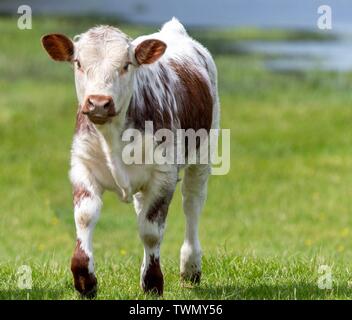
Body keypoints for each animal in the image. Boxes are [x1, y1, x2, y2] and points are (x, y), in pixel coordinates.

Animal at [42, 18, 220, 298]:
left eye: (126, 65)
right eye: (78, 63)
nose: (99, 102)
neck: (112, 137)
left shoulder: (163, 174)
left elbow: (150, 230)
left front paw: (153, 282)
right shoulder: (81, 166)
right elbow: (85, 216)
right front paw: (85, 280)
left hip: (203, 153)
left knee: (192, 204)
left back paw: (190, 268)